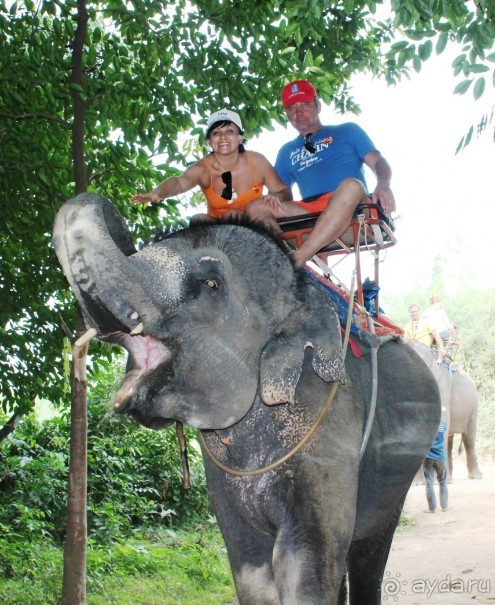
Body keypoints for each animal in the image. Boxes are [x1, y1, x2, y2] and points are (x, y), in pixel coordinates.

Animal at [53, 195, 442, 604]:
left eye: (211, 283)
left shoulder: (329, 432)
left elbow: (305, 563)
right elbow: (249, 568)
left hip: (398, 470)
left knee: (368, 547)